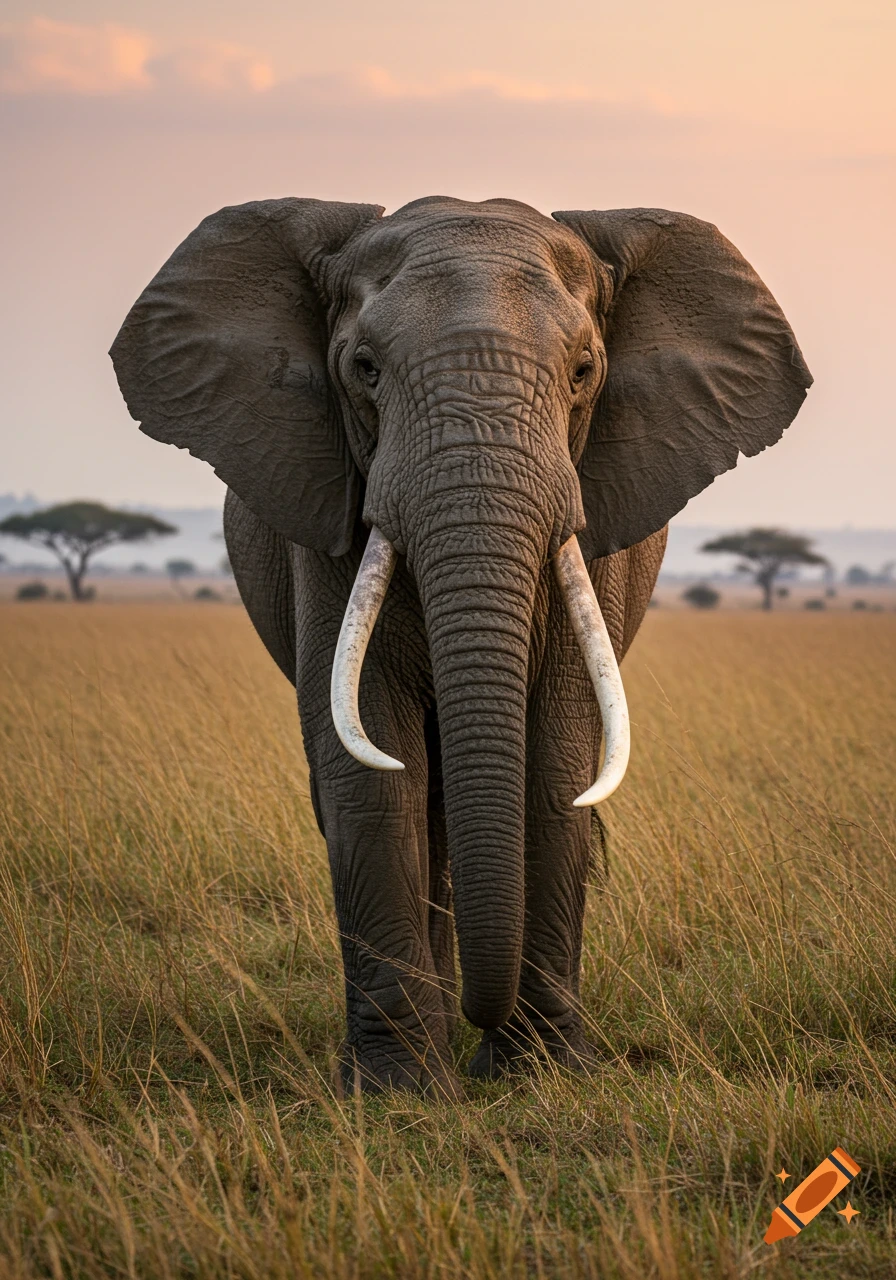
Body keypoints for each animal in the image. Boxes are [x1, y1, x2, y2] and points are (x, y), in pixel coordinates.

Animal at [110, 196, 810, 1096]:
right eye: (364, 368)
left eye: (584, 371)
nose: (483, 1024)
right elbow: (371, 770)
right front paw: (397, 1091)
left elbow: (556, 766)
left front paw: (540, 1078)